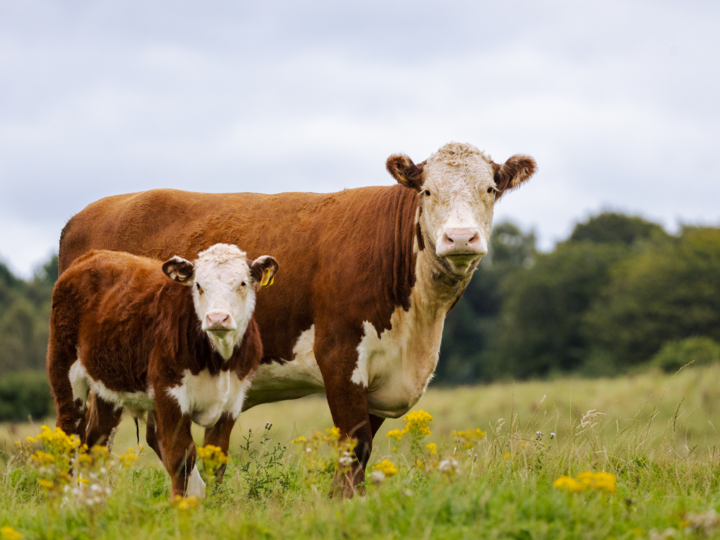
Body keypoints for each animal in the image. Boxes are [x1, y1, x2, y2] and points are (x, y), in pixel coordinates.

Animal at [47, 243, 279, 497]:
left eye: (242, 283)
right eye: (199, 285)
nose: (217, 318)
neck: (219, 361)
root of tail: (93, 255)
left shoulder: (232, 401)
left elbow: (216, 461)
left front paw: (213, 503)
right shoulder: (169, 393)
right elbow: (181, 457)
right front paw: (180, 504)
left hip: (107, 387)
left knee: (95, 443)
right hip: (64, 371)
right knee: (67, 435)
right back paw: (61, 500)